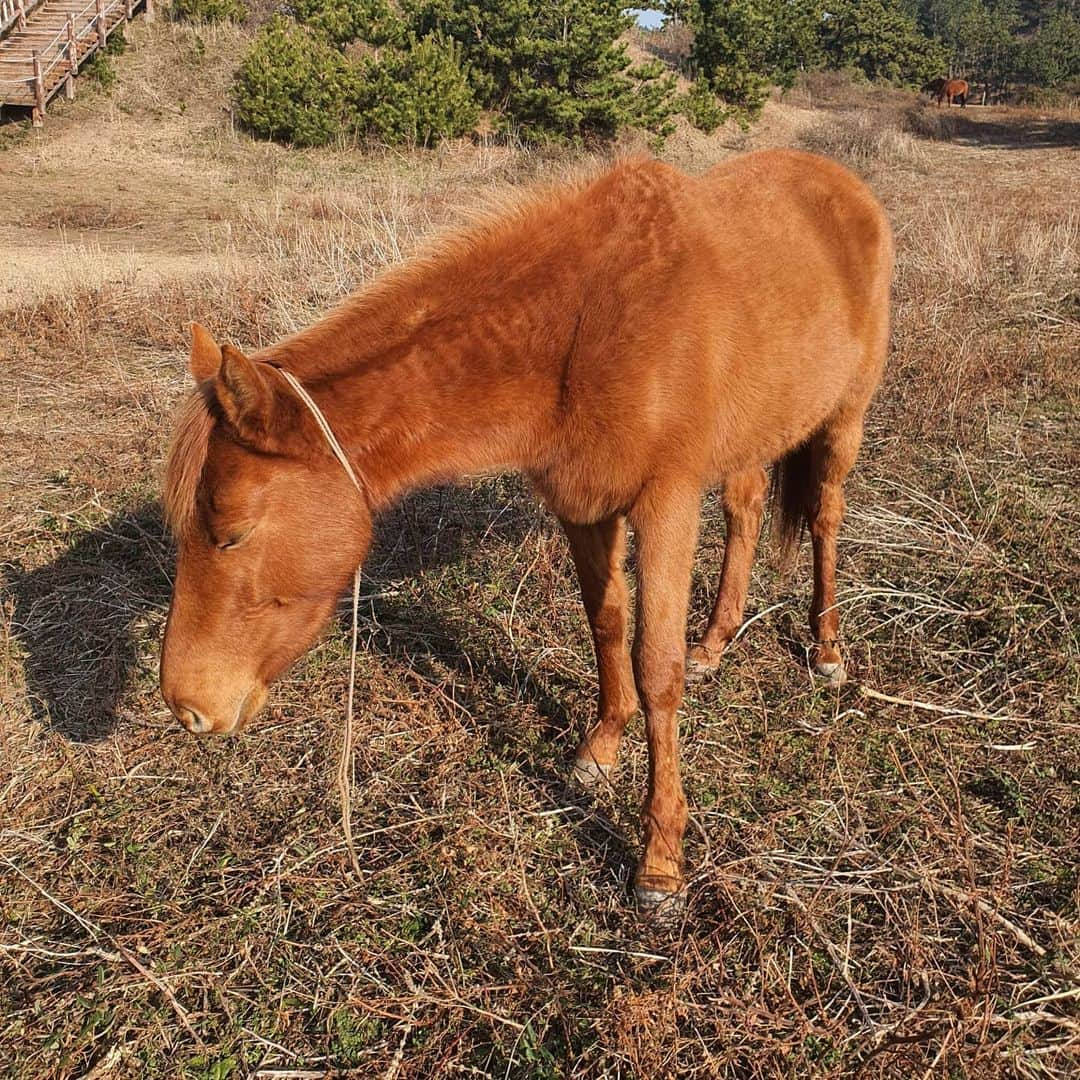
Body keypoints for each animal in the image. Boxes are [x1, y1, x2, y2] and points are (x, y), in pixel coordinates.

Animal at [159, 152, 889, 911]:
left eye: (232, 533)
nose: (187, 707)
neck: (583, 328)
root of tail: (844, 185)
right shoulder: (583, 506)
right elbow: (606, 624)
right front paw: (602, 747)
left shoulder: (666, 509)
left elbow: (656, 668)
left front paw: (660, 859)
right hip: (751, 434)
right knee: (745, 513)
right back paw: (715, 644)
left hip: (844, 419)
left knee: (826, 518)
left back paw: (827, 649)